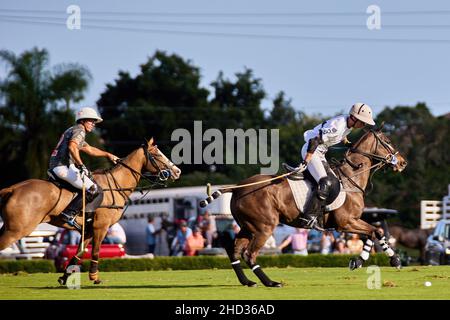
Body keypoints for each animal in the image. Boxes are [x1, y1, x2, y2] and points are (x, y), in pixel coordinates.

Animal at [0, 139, 179, 284]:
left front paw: (65, 277)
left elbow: (80, 251)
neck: (116, 185)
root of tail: (12, 188)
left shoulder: (88, 230)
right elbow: (95, 251)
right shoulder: (101, 227)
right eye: (157, 154)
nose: (177, 171)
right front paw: (94, 277)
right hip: (17, 230)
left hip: (8, 227)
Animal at [200, 127, 408, 288]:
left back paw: (248, 282)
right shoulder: (346, 222)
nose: (403, 162)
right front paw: (386, 259)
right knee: (249, 254)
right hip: (264, 226)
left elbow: (374, 232)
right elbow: (375, 231)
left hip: (247, 226)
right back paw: (271, 282)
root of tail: (237, 188)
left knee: (234, 250)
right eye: (388, 141)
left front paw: (372, 260)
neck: (351, 179)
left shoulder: (352, 222)